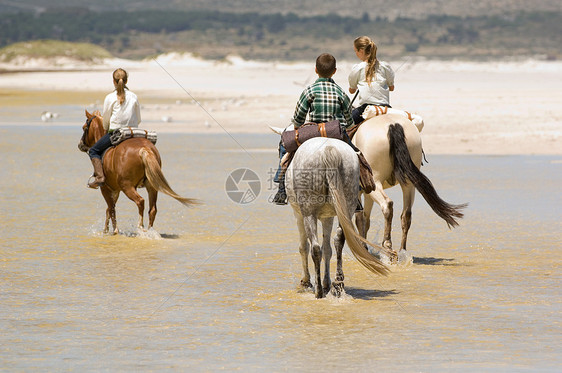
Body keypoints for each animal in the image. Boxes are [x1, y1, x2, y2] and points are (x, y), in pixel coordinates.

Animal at [286, 136, 388, 296]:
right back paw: (338, 282)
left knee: (315, 248)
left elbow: (305, 247)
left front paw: (307, 281)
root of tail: (329, 149)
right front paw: (327, 282)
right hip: (347, 206)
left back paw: (319, 291)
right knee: (339, 239)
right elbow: (328, 249)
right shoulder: (328, 217)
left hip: (308, 213)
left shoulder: (299, 214)